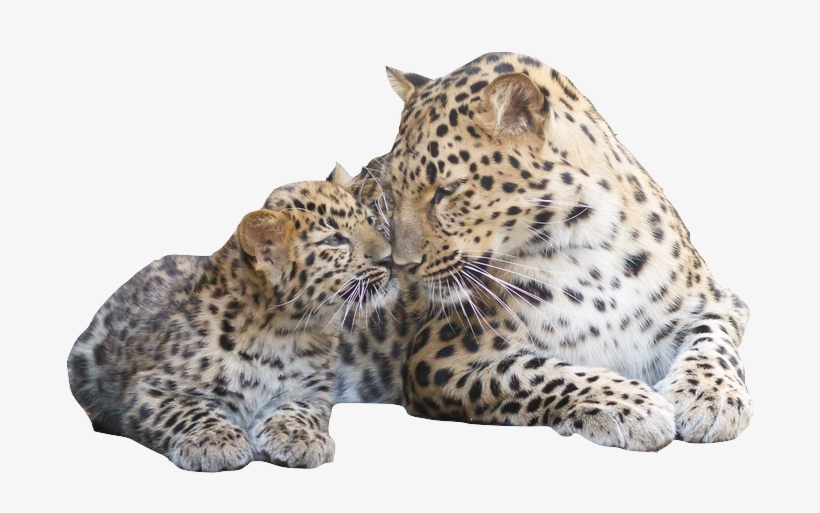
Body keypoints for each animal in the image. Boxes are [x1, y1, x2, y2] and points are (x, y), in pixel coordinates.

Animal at [67, 168, 395, 470]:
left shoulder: (312, 390)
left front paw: (297, 436)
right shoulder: (149, 389)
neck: (282, 332)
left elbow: (302, 408)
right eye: (335, 240)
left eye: (371, 222)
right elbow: (186, 409)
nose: (390, 258)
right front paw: (214, 440)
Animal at [348, 52, 752, 451]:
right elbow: (537, 374)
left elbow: (713, 343)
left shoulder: (718, 301)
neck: (592, 246)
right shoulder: (437, 356)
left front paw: (710, 398)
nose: (401, 266)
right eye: (390, 194)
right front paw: (631, 406)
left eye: (447, 190)